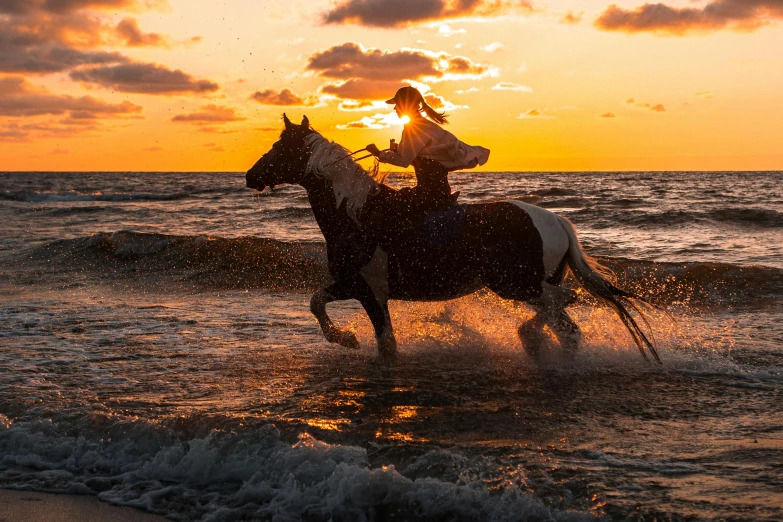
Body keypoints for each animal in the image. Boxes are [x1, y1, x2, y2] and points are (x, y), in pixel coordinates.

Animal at [247, 115, 660, 362]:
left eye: (278, 147)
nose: (250, 176)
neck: (355, 213)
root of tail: (556, 221)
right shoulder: (352, 284)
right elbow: (316, 302)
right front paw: (345, 338)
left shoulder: (369, 291)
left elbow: (383, 342)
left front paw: (347, 338)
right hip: (527, 285)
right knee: (565, 325)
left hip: (514, 284)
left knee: (563, 304)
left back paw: (533, 339)